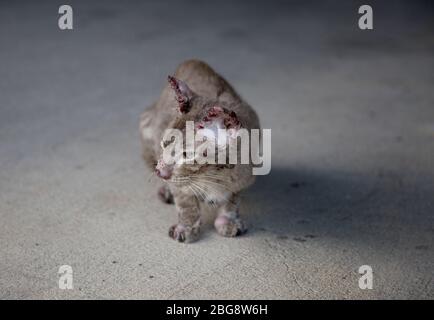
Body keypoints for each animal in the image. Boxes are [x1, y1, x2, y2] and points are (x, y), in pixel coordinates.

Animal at [141, 59, 260, 242]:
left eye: (187, 155)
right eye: (163, 144)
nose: (160, 173)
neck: (214, 176)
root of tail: (192, 60)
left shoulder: (245, 178)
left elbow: (232, 200)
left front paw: (227, 221)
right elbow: (185, 201)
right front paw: (186, 227)